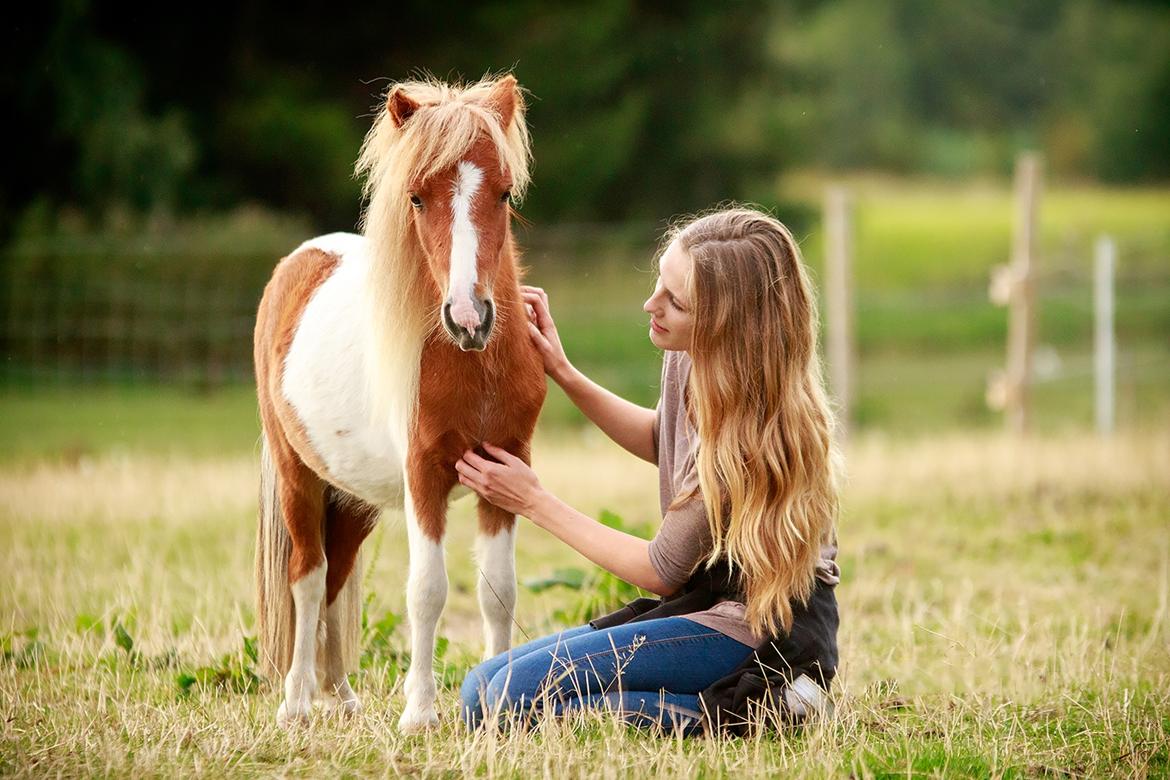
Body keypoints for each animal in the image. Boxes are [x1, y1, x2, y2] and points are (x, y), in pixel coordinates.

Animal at [251, 76, 542, 729]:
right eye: (415, 198)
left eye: (505, 194)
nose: (468, 318)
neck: (472, 368)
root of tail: (298, 263)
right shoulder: (424, 476)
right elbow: (427, 591)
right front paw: (420, 713)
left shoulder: (507, 468)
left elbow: (498, 590)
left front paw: (497, 707)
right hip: (297, 476)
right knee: (308, 579)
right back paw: (297, 701)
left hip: (354, 498)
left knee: (336, 581)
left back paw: (342, 696)